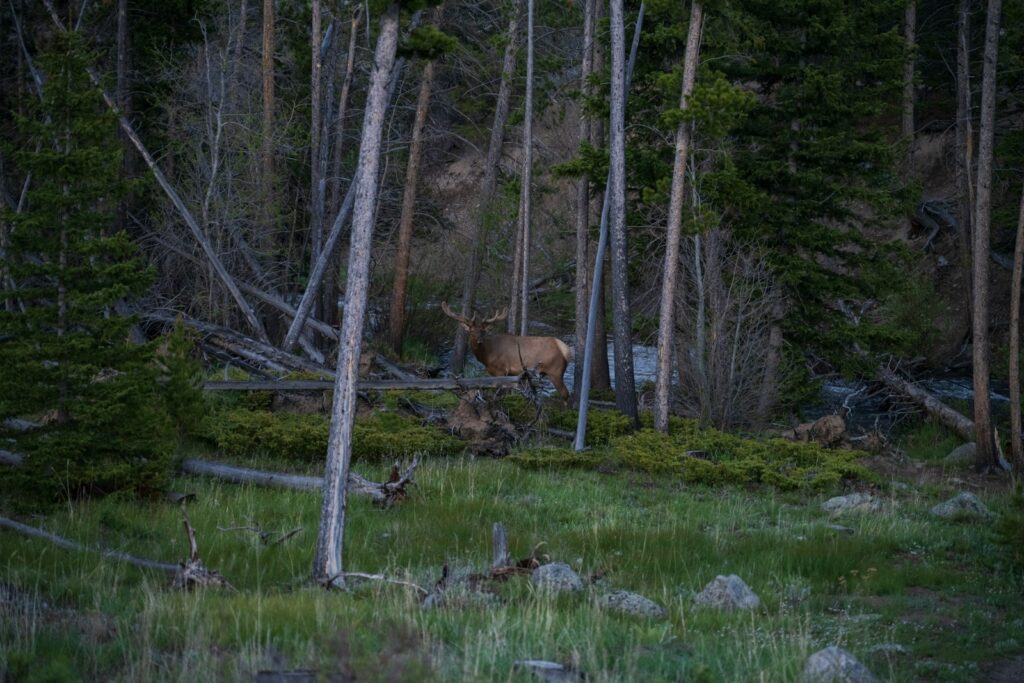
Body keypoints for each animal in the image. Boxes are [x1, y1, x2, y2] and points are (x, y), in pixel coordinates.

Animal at [441, 302, 572, 402]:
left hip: (555, 371)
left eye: (483, 331)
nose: (479, 341)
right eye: (471, 331)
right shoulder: (509, 374)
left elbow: (500, 392)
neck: (487, 355)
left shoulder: (500, 370)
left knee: (565, 394)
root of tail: (564, 348)